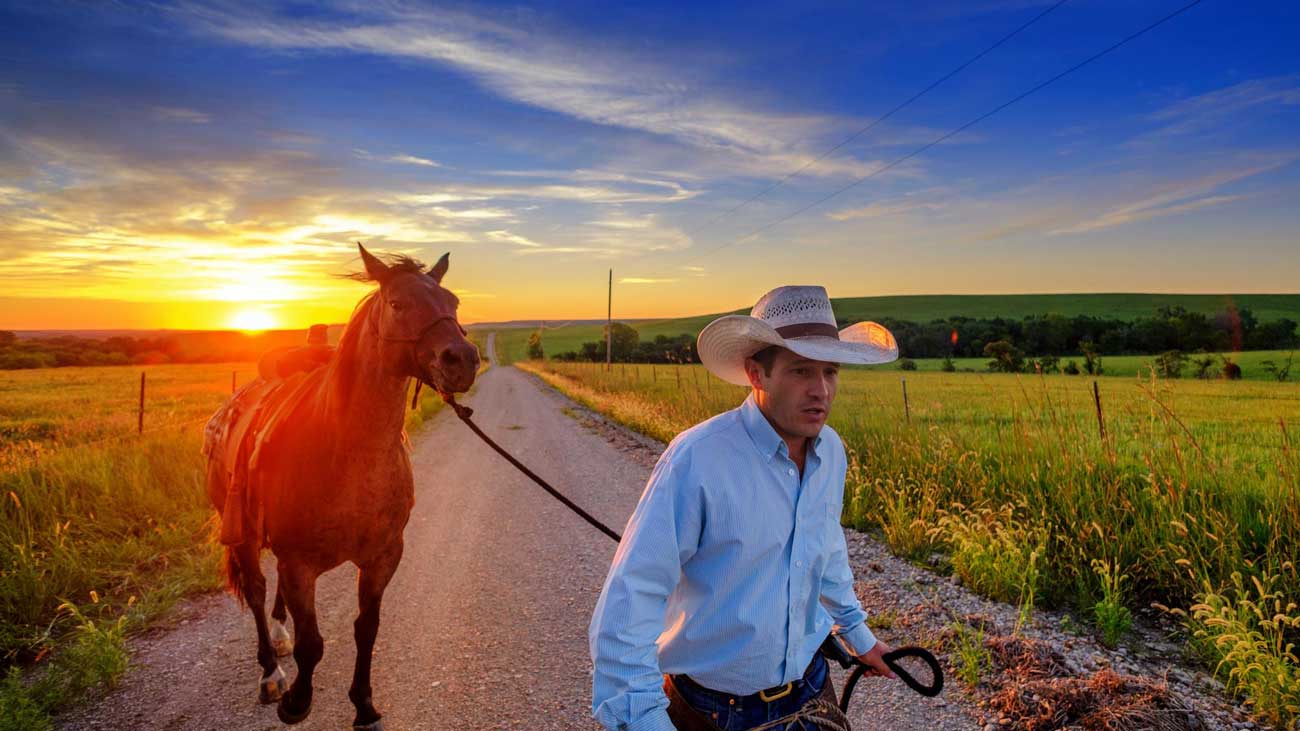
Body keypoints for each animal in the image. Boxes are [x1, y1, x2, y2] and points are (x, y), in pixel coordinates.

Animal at [205, 241, 480, 723]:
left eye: (453, 303)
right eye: (397, 303)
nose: (463, 360)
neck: (349, 454)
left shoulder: (383, 556)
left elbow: (366, 629)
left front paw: (364, 702)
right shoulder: (300, 563)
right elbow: (313, 644)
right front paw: (297, 701)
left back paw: (280, 636)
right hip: (241, 532)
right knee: (256, 592)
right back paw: (271, 673)